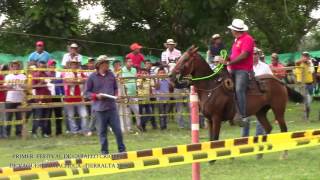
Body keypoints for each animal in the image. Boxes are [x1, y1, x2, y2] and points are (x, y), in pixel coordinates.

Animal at [169, 46, 304, 159]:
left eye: (185, 59)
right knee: (268, 128)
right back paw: (260, 153)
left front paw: (212, 160)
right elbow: (210, 139)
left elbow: (215, 139)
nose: (171, 75)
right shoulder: (209, 119)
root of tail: (279, 82)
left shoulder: (216, 118)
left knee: (284, 129)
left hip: (278, 110)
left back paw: (284, 154)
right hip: (260, 112)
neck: (210, 88)